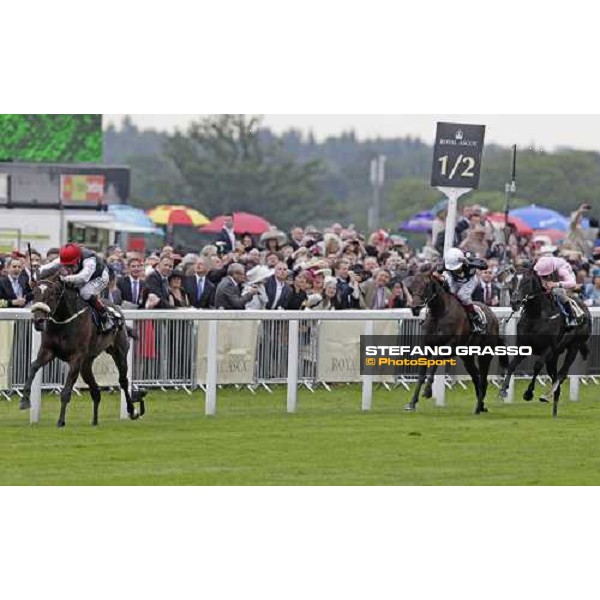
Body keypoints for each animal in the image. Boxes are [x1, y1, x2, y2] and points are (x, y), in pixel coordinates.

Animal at [19, 276, 142, 426]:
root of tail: (117, 309)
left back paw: (131, 410)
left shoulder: (76, 358)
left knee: (123, 381)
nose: (39, 321)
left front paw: (61, 421)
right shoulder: (47, 351)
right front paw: (24, 400)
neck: (63, 322)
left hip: (119, 352)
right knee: (95, 390)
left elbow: (66, 391)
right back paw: (94, 421)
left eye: (52, 294)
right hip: (86, 364)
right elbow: (33, 367)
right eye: (34, 293)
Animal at [408, 270, 506, 414]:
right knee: (476, 378)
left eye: (426, 285)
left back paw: (478, 408)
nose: (415, 307)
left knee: (483, 379)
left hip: (485, 354)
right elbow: (421, 375)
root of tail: (493, 316)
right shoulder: (425, 346)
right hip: (467, 357)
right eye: (411, 286)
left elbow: (435, 361)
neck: (439, 313)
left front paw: (428, 391)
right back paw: (481, 405)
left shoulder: (451, 346)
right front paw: (412, 403)